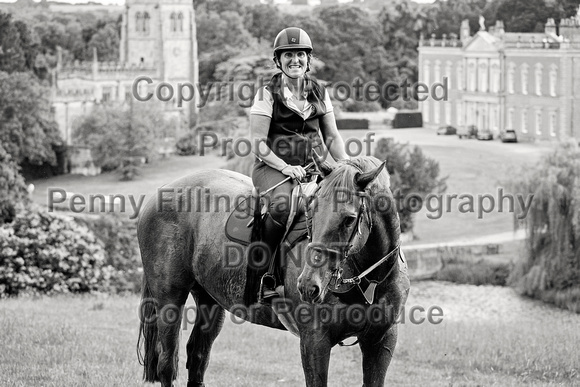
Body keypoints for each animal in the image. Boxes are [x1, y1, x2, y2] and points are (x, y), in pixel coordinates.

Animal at [137, 156, 408, 386]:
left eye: (349, 219)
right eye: (312, 211)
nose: (308, 285)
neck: (369, 281)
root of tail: (162, 191)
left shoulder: (381, 341)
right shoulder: (315, 342)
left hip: (210, 301)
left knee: (198, 358)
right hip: (169, 300)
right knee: (166, 364)